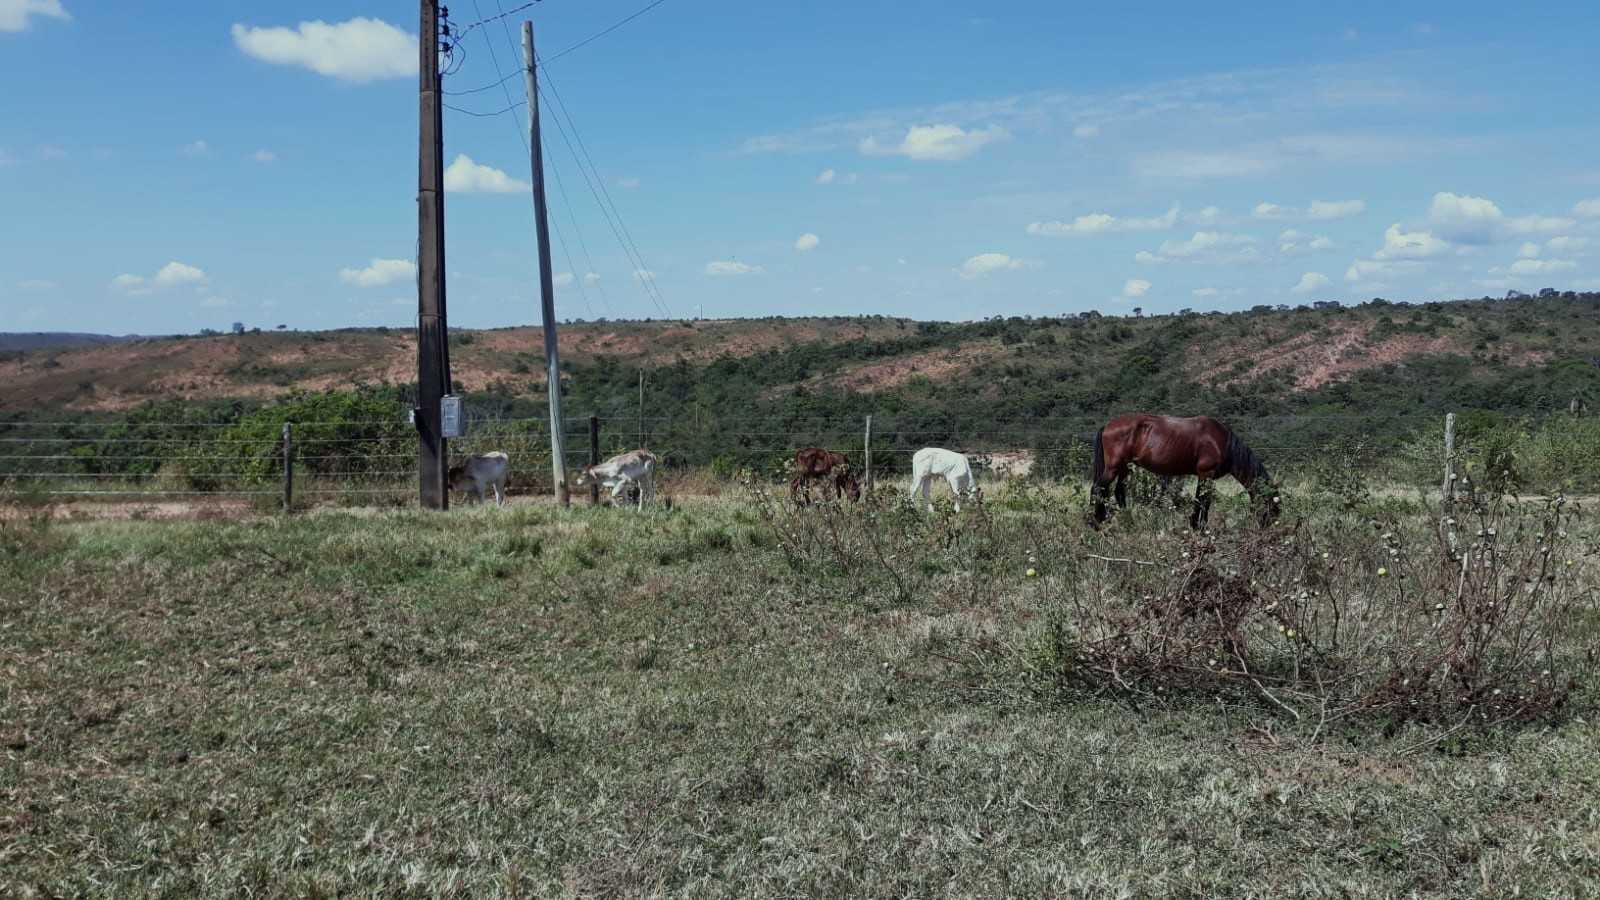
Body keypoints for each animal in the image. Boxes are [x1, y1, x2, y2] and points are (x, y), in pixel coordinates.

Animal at [1088, 413, 1273, 528]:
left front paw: (1198, 525)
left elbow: (1203, 500)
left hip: (1124, 468)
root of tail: (1107, 426)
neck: (1222, 442)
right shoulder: (1206, 473)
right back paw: (1096, 522)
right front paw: (1199, 526)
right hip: (1113, 467)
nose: (1266, 527)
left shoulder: (1205, 476)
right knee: (1098, 488)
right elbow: (1203, 500)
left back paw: (1127, 519)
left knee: (1118, 491)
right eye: (1270, 504)